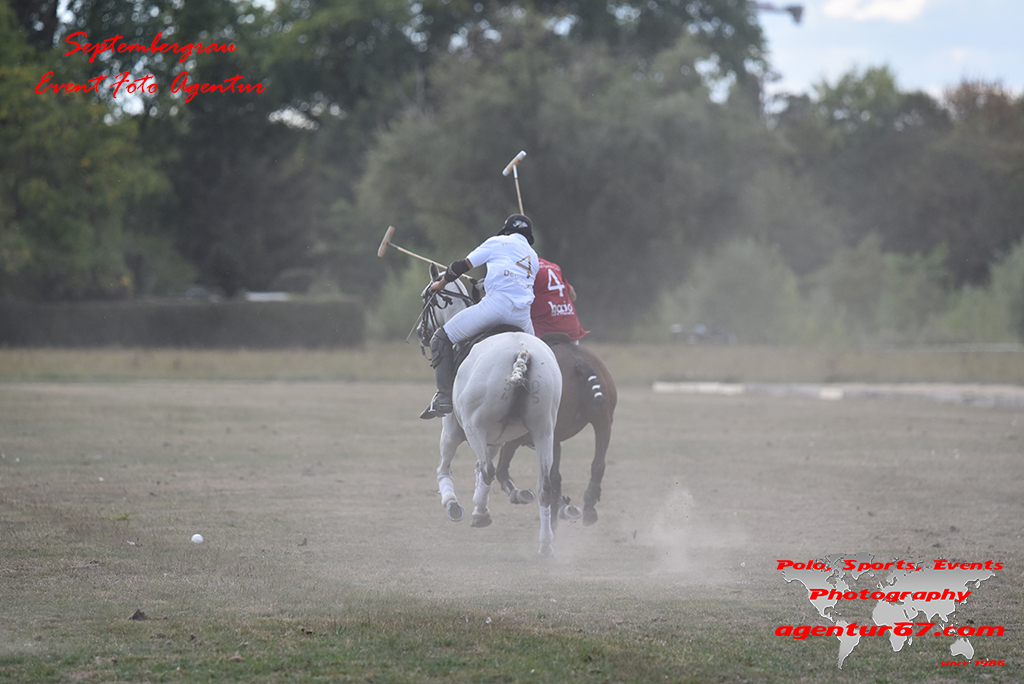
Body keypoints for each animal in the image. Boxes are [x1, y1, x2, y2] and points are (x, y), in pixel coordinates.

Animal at [417, 264, 563, 556]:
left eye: (426, 296)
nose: (419, 331)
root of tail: (522, 354)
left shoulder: (453, 428)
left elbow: (445, 467)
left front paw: (454, 505)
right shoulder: (496, 437)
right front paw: (477, 505)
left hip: (474, 426)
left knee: (486, 469)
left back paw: (481, 515)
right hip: (544, 430)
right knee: (544, 486)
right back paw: (545, 544)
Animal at [494, 333, 617, 527]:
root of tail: (580, 362)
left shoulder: (515, 438)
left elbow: (501, 470)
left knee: (552, 478)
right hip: (603, 421)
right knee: (598, 464)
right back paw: (588, 508)